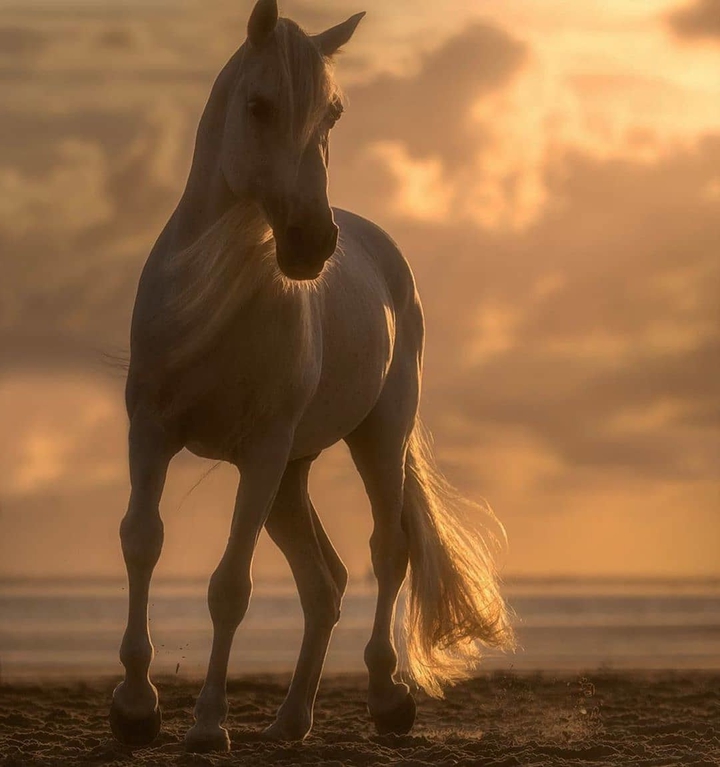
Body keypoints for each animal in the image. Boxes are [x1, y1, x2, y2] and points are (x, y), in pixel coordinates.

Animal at [109, 0, 515, 753]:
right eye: (259, 105)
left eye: (332, 114)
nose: (311, 243)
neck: (218, 292)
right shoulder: (151, 433)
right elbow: (141, 541)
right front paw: (135, 707)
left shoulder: (262, 452)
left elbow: (230, 587)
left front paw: (207, 722)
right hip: (291, 479)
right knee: (323, 582)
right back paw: (292, 718)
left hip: (373, 439)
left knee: (389, 551)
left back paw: (388, 698)